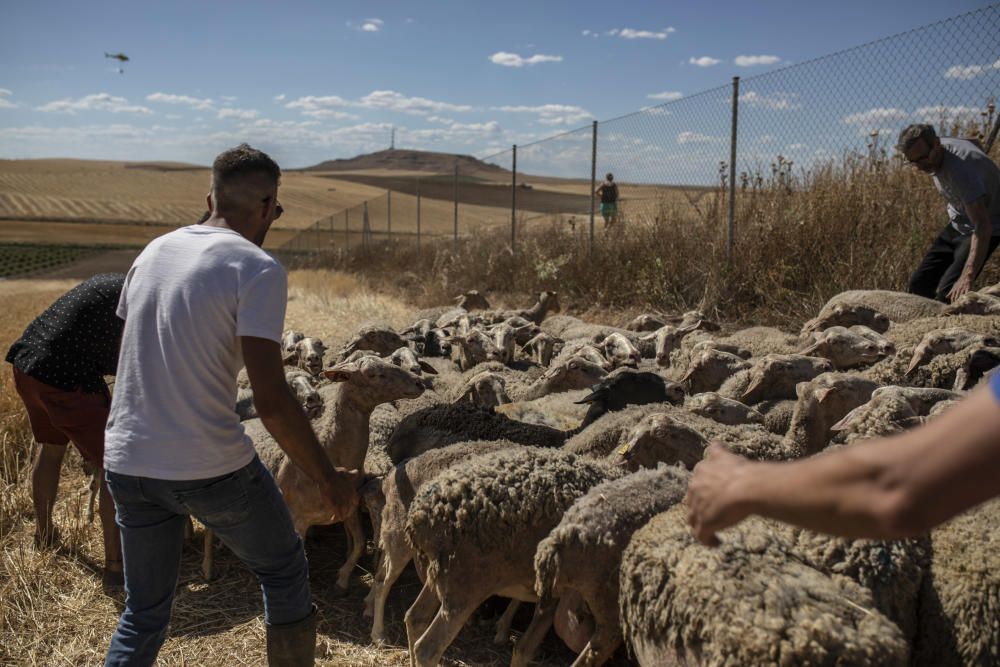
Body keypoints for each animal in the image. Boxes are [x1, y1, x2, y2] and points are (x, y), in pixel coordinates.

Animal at [400, 446, 624, 667]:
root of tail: (420, 517)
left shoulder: (551, 598)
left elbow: (524, 650)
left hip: (439, 578)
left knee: (415, 617)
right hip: (464, 589)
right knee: (427, 649)